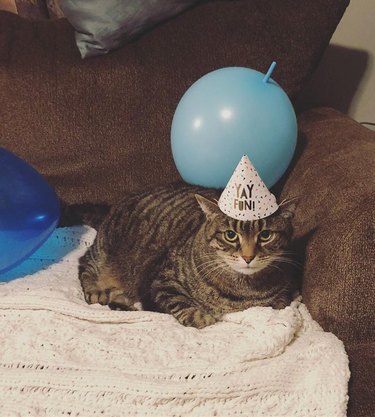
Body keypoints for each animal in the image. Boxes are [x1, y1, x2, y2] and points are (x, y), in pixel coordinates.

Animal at [67, 182, 296, 328]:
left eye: (265, 235)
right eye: (231, 235)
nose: (248, 257)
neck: (241, 288)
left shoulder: (282, 299)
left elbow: (277, 303)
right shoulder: (161, 280)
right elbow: (183, 305)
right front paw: (203, 316)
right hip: (105, 251)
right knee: (85, 262)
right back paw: (97, 290)